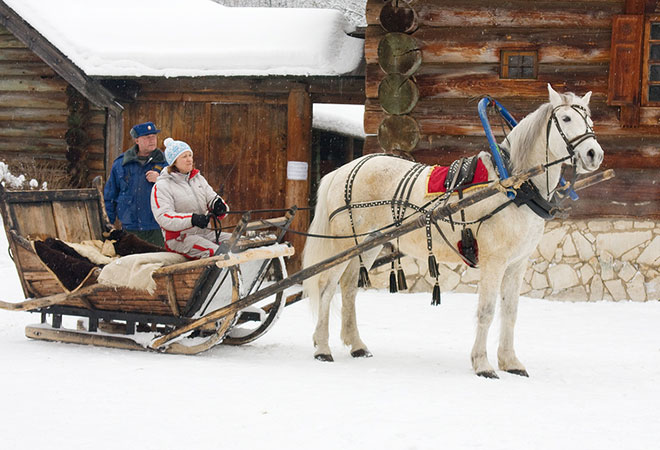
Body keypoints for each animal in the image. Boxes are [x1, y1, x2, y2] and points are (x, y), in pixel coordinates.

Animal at [302, 83, 604, 376]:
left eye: (589, 119)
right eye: (566, 118)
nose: (594, 154)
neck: (515, 186)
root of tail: (343, 170)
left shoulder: (517, 264)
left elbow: (510, 311)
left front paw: (510, 362)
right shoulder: (494, 261)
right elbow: (487, 310)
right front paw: (483, 365)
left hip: (367, 244)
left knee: (349, 287)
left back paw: (356, 345)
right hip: (343, 243)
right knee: (326, 288)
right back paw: (322, 348)